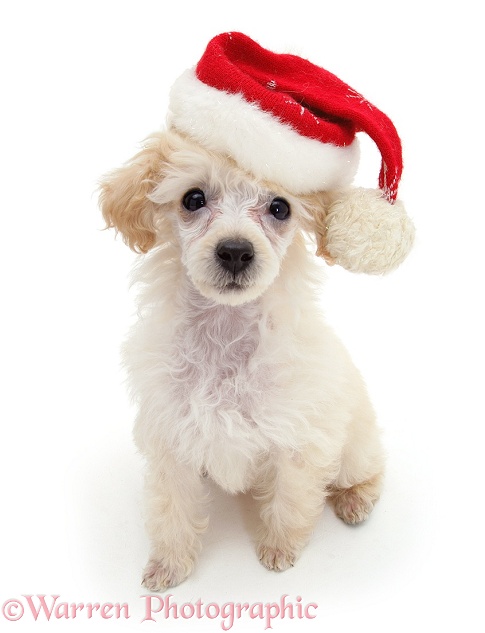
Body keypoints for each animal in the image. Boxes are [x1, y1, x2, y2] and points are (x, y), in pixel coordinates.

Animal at [99, 130, 386, 592]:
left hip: (355, 445)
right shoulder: (170, 438)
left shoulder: (299, 441)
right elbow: (171, 507)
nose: (235, 251)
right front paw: (169, 563)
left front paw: (280, 549)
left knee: (368, 469)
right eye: (193, 199)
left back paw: (355, 499)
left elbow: (291, 498)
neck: (225, 330)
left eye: (280, 208)